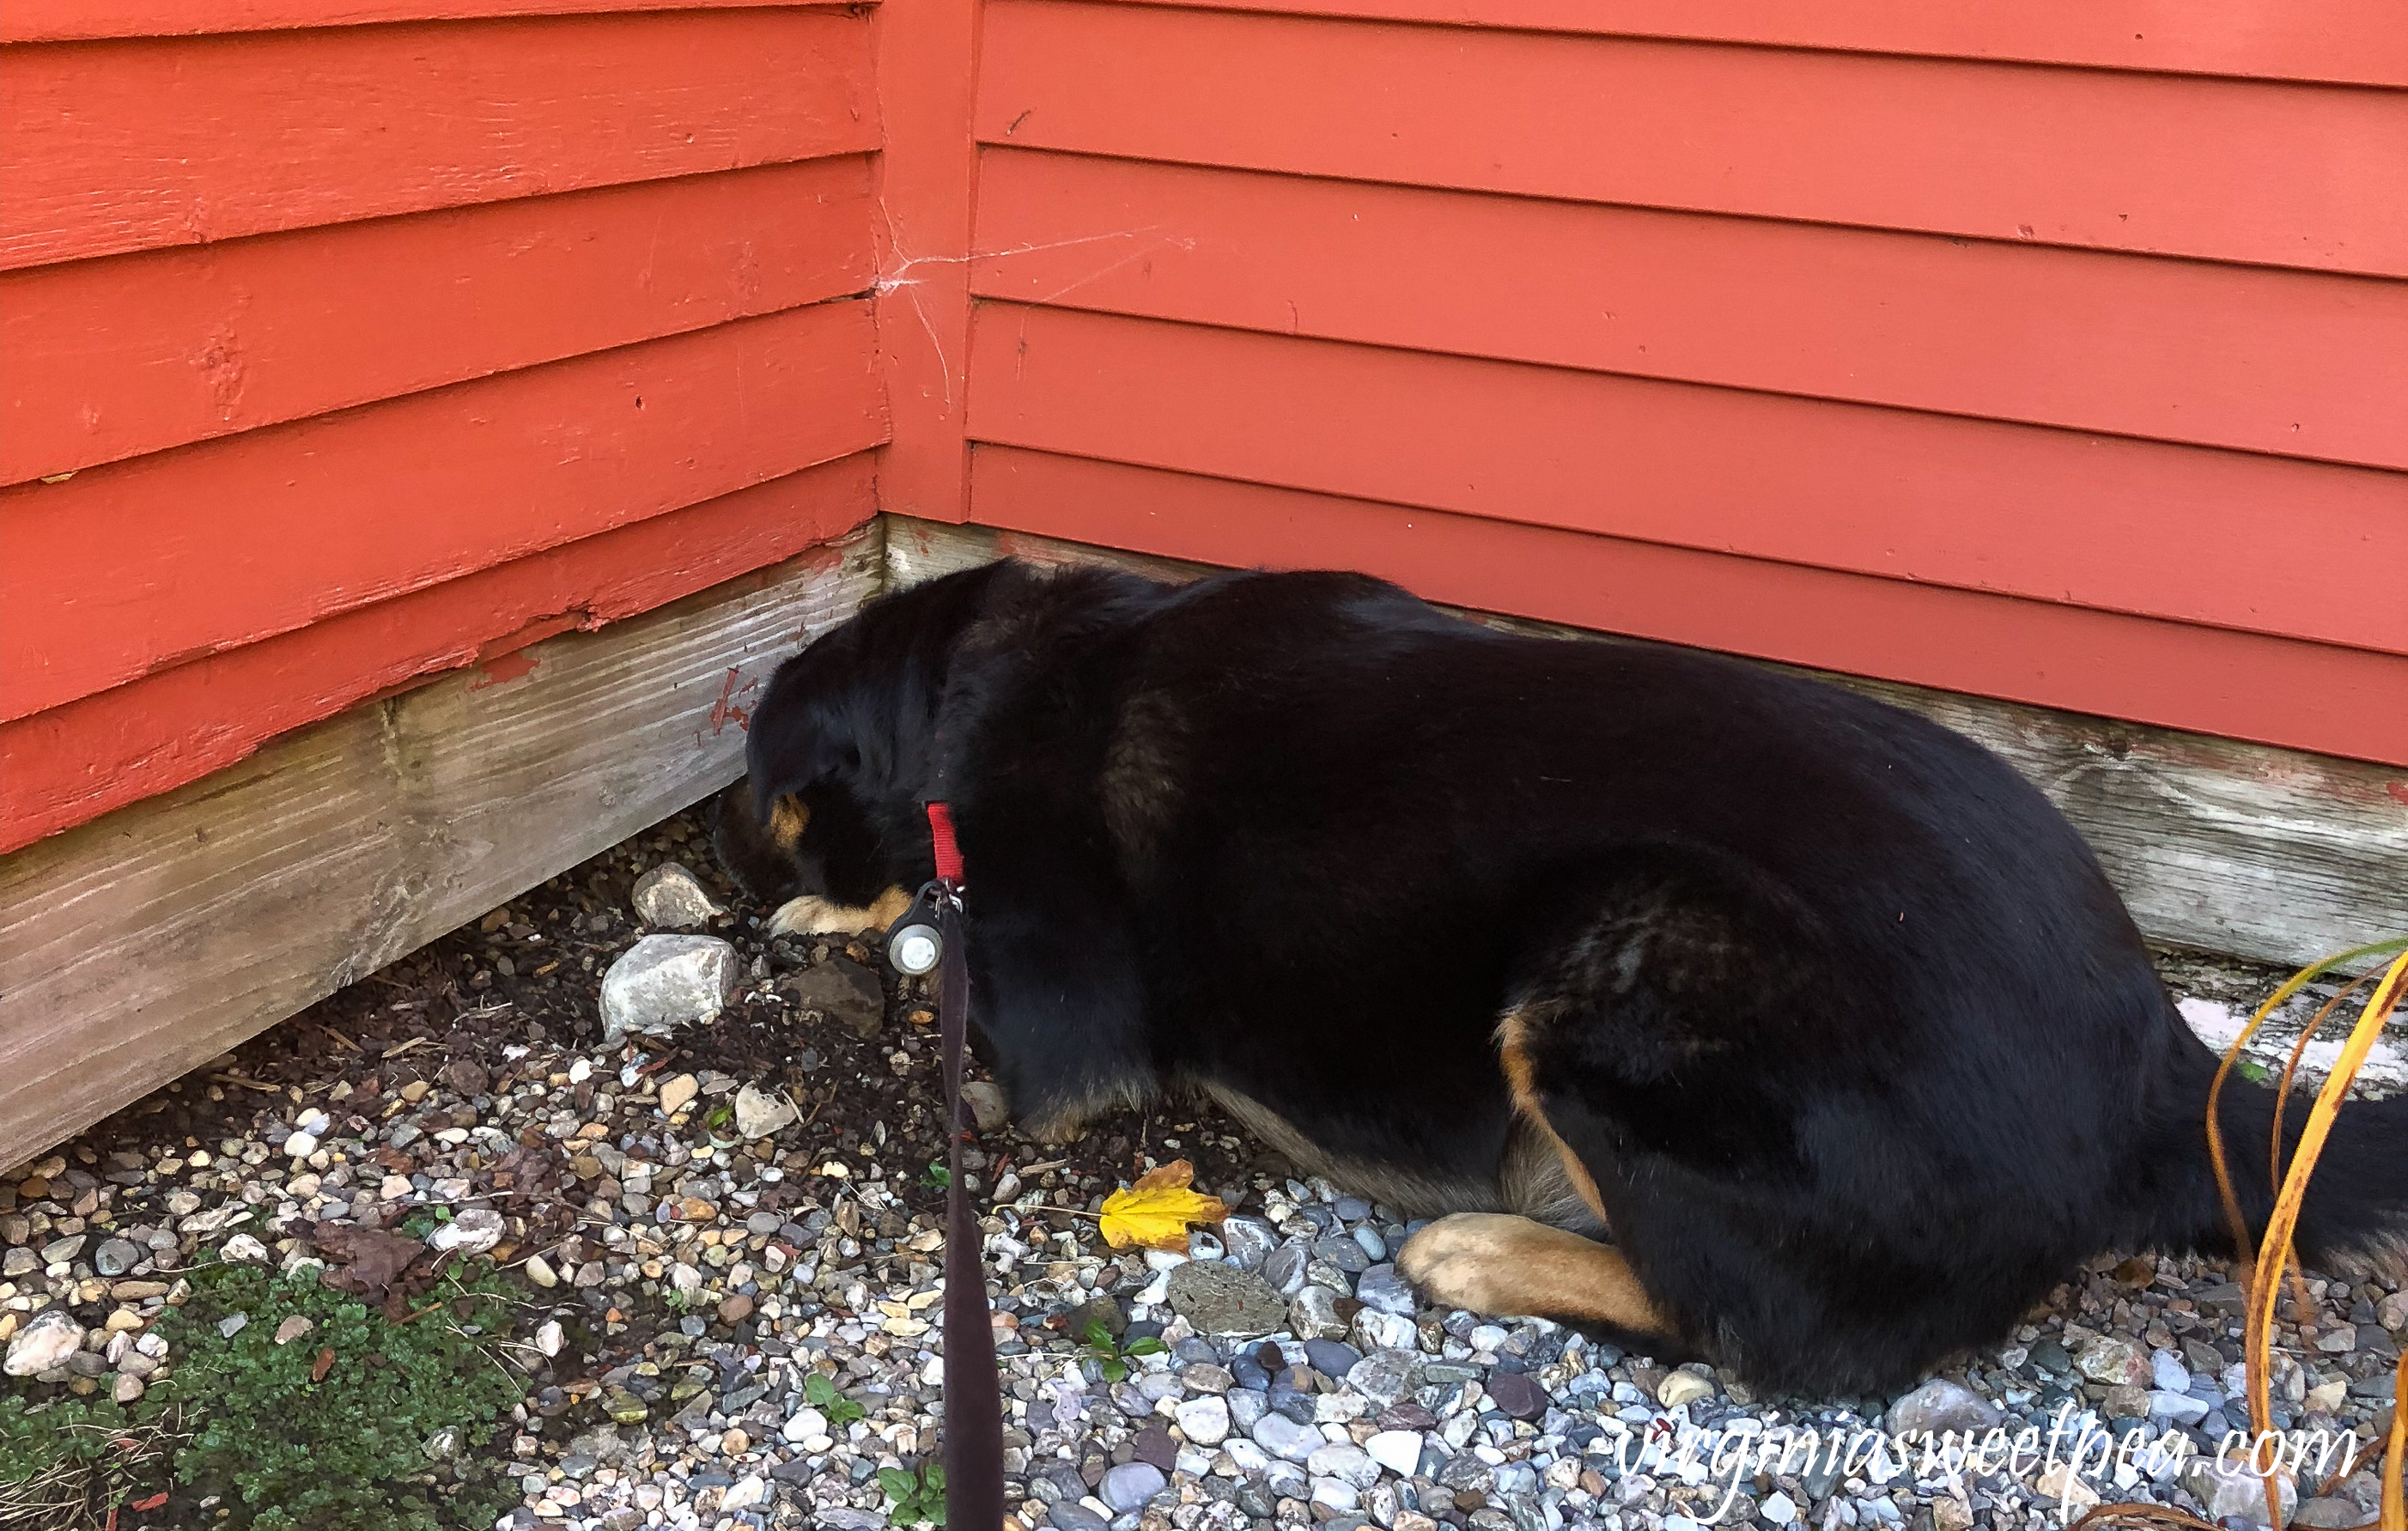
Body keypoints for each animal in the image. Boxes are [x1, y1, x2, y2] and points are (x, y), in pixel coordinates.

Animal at [717, 556, 2408, 1396]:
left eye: (762, 797)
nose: (737, 870)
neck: (973, 671)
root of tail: (2160, 1078)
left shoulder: (1054, 1032)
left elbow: (941, 947)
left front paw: (832, 913)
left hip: (1614, 956)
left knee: (1768, 1335)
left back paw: (1477, 1245)